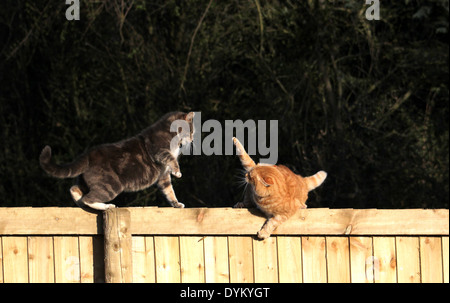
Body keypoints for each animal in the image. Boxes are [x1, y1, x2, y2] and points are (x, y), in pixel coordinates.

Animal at [38, 111, 193, 211]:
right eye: (191, 131)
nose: (192, 139)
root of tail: (89, 154)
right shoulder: (159, 150)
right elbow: (171, 159)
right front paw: (178, 172)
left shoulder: (163, 175)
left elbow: (169, 190)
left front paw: (176, 204)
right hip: (112, 185)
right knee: (89, 198)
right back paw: (106, 206)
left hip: (86, 181)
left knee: (75, 189)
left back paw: (82, 204)